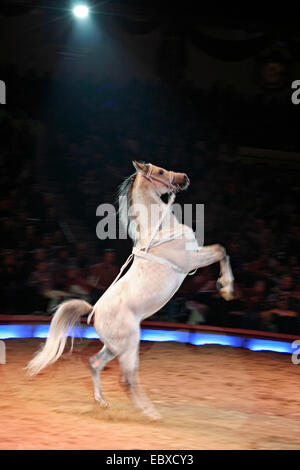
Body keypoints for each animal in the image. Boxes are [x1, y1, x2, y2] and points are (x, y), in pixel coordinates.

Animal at [27, 161, 234, 418]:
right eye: (160, 172)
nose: (184, 177)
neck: (161, 229)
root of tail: (94, 311)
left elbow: (221, 250)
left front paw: (224, 288)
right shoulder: (191, 260)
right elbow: (221, 250)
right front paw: (226, 288)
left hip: (114, 346)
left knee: (95, 363)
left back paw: (103, 402)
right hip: (129, 345)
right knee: (126, 379)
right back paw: (150, 413)